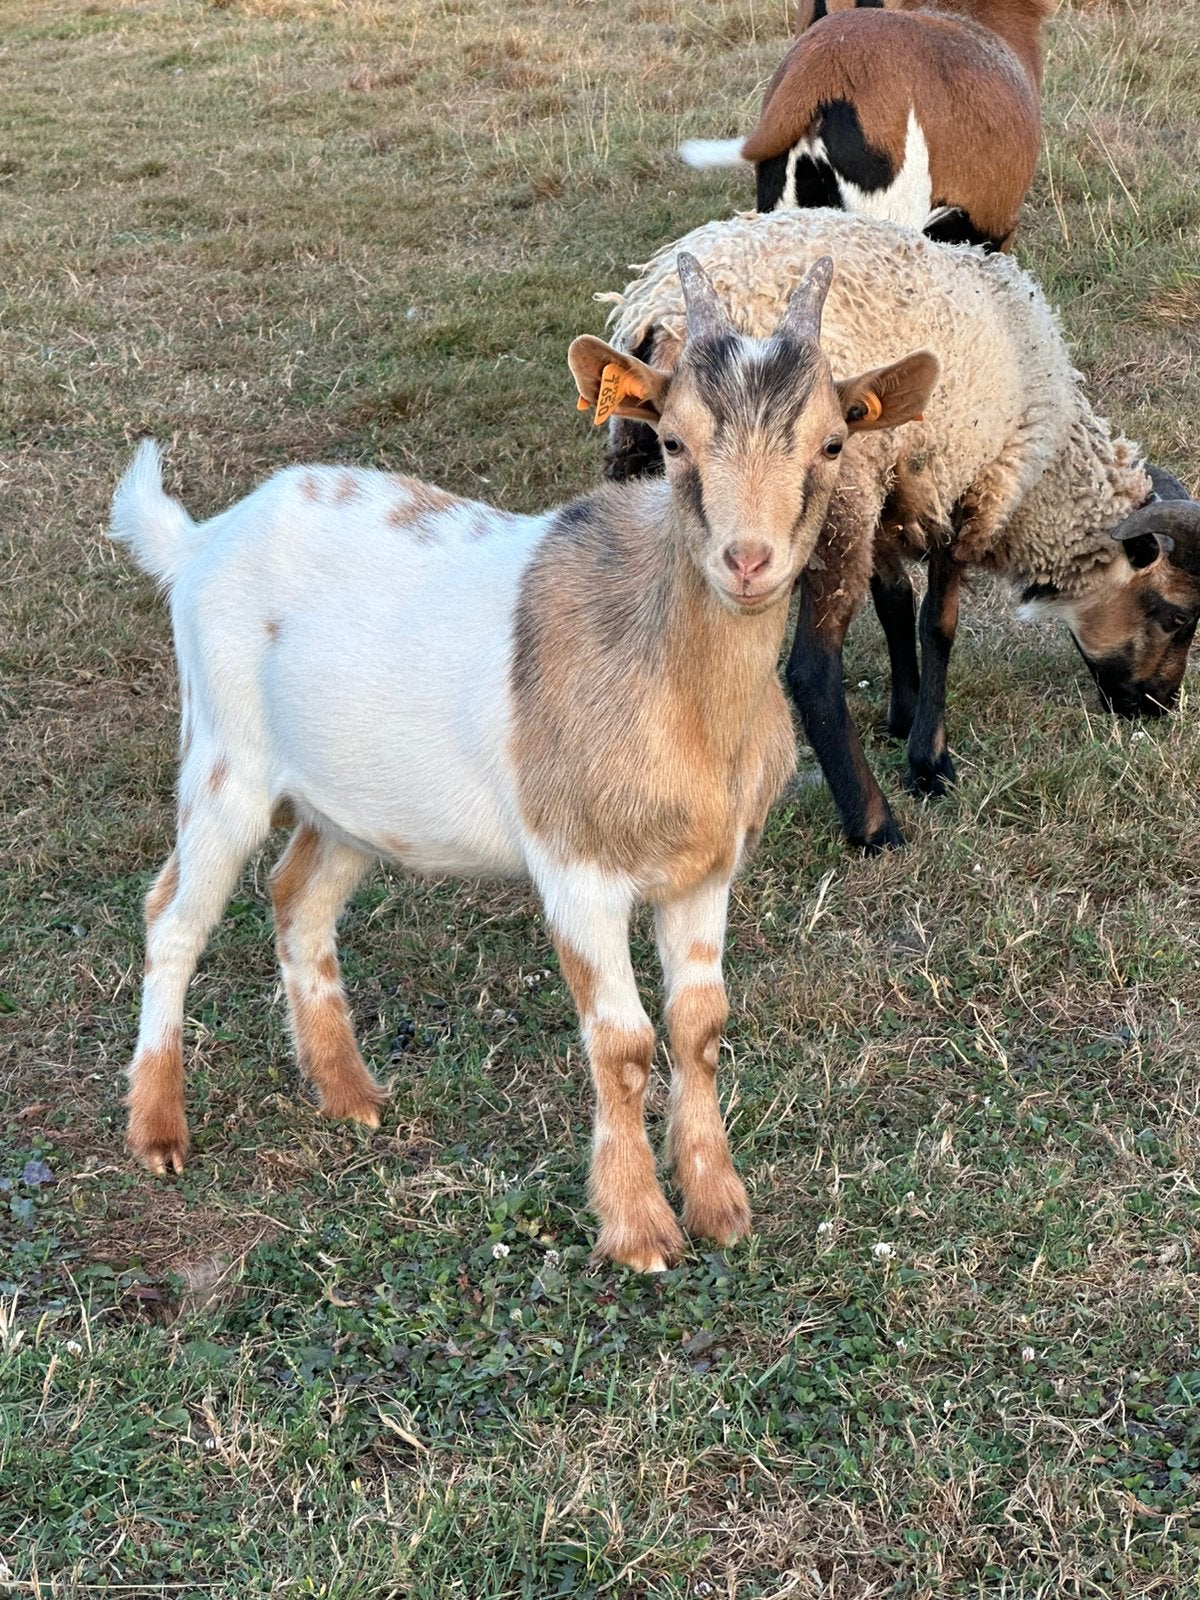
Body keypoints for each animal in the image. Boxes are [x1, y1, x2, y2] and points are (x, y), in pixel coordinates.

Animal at [107, 255, 936, 1270]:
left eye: (830, 443)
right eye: (671, 443)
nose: (748, 561)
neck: (683, 693)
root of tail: (200, 539)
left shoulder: (706, 870)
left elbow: (698, 1027)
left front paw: (719, 1207)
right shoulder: (576, 865)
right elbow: (622, 1043)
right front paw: (639, 1228)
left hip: (349, 801)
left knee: (299, 895)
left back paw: (350, 1097)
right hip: (226, 758)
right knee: (173, 918)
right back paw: (158, 1131)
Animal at [601, 211, 1200, 851]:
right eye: (1177, 616)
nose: (1159, 708)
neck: (1046, 475)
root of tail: (662, 315)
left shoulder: (892, 495)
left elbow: (895, 600)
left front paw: (904, 714)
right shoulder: (966, 487)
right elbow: (937, 623)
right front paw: (930, 764)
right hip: (833, 507)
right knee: (812, 672)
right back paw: (874, 824)